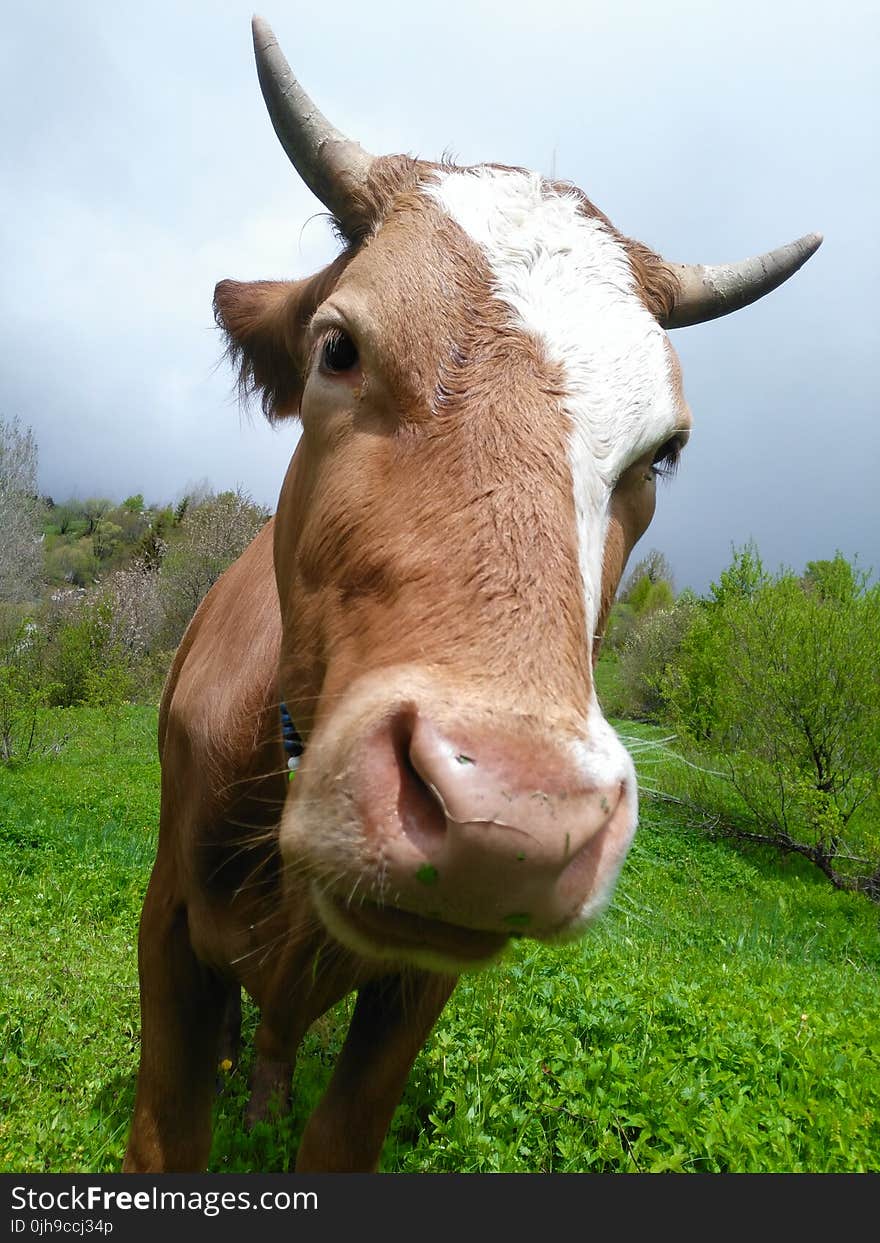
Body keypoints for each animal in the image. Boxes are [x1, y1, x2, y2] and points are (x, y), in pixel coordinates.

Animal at [120, 14, 820, 1168]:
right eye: (338, 347)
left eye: (664, 451)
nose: (513, 816)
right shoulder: (168, 927)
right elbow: (166, 1133)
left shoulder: (414, 994)